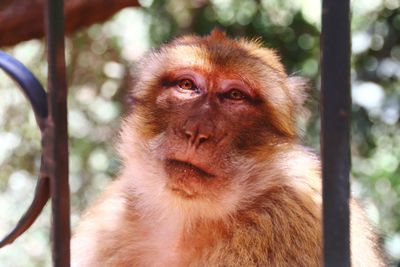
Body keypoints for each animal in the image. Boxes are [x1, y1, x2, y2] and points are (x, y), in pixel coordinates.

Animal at [71, 30, 384, 266]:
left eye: (234, 96)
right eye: (187, 85)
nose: (197, 132)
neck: (187, 220)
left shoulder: (299, 214)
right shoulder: (110, 222)